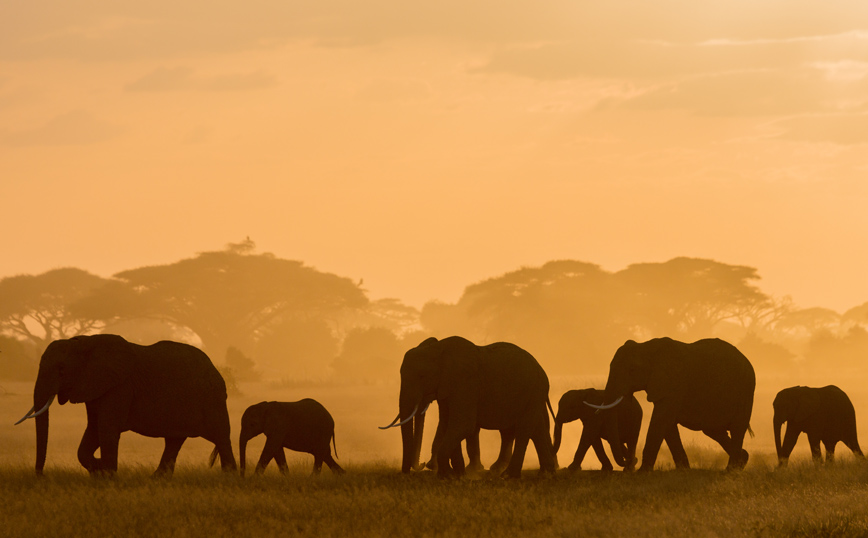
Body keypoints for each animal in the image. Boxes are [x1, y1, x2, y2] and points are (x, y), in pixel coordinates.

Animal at [14, 332, 237, 476]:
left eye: (61, 369)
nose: (40, 475)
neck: (84, 342)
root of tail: (215, 369)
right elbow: (93, 428)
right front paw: (99, 470)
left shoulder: (120, 386)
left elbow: (107, 427)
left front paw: (108, 476)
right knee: (174, 440)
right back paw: (157, 479)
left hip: (211, 398)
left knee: (220, 436)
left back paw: (230, 478)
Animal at [380, 336, 556, 478]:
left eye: (422, 376)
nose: (419, 466)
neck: (438, 349)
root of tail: (541, 368)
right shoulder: (448, 387)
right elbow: (448, 424)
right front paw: (457, 474)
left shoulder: (465, 382)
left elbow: (462, 424)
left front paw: (447, 476)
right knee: (536, 430)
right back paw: (545, 473)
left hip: (535, 390)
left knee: (524, 430)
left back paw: (508, 476)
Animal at [588, 338, 752, 472]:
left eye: (632, 370)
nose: (629, 461)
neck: (646, 347)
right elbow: (668, 424)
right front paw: (684, 470)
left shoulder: (674, 384)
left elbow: (661, 419)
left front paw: (643, 472)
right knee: (713, 430)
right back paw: (742, 461)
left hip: (746, 391)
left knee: (737, 428)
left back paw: (731, 469)